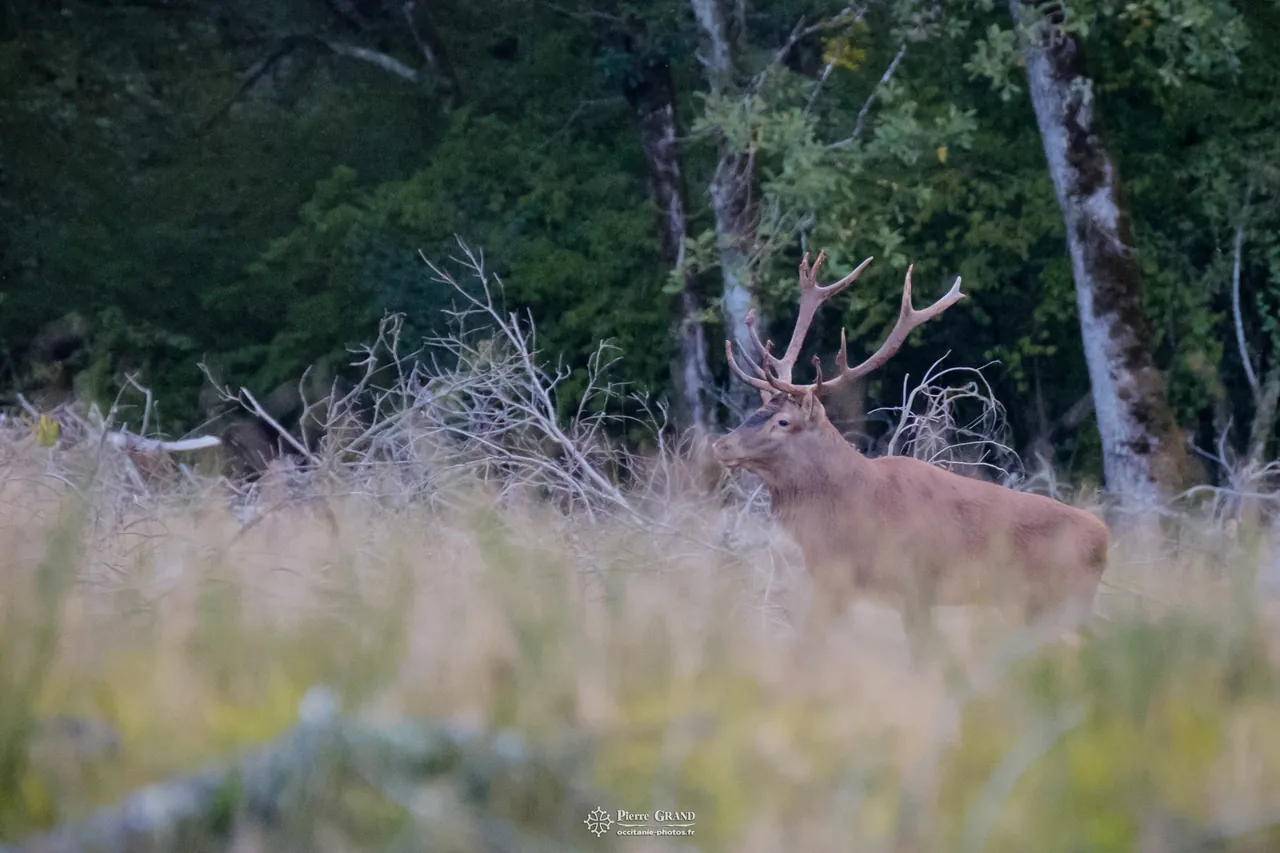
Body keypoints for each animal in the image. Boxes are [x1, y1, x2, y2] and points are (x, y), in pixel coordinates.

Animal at [713, 250, 1110, 660]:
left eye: (783, 421)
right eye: (756, 411)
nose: (721, 445)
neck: (849, 514)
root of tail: (1105, 540)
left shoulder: (914, 582)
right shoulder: (835, 580)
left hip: (1056, 598)